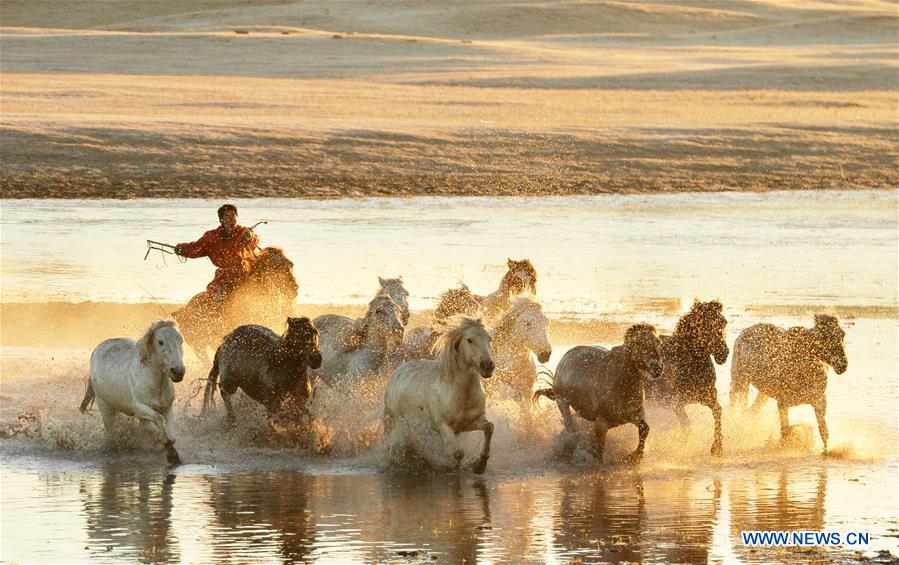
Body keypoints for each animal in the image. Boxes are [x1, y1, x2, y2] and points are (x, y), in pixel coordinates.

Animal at [79, 320, 186, 465]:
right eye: (160, 342)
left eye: (180, 340)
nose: (178, 371)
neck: (154, 383)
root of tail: (96, 350)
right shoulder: (139, 408)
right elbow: (159, 419)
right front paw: (172, 455)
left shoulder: (167, 407)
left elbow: (171, 436)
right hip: (105, 407)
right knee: (111, 433)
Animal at [385, 317, 496, 474]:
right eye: (470, 340)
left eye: (489, 339)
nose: (488, 366)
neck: (463, 394)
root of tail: (397, 372)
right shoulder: (443, 425)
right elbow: (458, 453)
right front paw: (455, 466)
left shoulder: (470, 423)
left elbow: (489, 428)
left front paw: (480, 465)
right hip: (400, 424)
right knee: (394, 444)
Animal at [534, 324, 662, 464]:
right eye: (638, 342)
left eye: (658, 342)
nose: (657, 367)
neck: (620, 382)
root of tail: (564, 358)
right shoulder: (601, 422)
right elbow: (599, 448)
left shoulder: (636, 414)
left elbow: (645, 429)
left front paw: (635, 457)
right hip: (562, 401)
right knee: (571, 427)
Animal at [645, 300, 729, 456]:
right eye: (704, 324)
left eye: (723, 322)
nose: (723, 353)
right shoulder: (675, 403)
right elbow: (686, 424)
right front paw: (679, 444)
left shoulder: (707, 396)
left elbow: (717, 411)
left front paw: (717, 447)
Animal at [730, 314, 847, 453]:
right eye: (824, 337)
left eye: (842, 334)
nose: (843, 365)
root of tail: (744, 331)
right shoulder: (783, 403)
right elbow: (785, 431)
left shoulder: (819, 401)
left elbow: (823, 431)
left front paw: (826, 451)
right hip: (740, 380)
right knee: (735, 401)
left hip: (763, 392)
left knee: (753, 409)